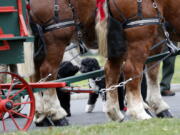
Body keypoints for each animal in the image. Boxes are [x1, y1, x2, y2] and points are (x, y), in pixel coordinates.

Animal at [28, 0, 179, 125]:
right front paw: (144, 109)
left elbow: (151, 73)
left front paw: (158, 107)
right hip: (57, 37)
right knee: (47, 72)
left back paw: (41, 116)